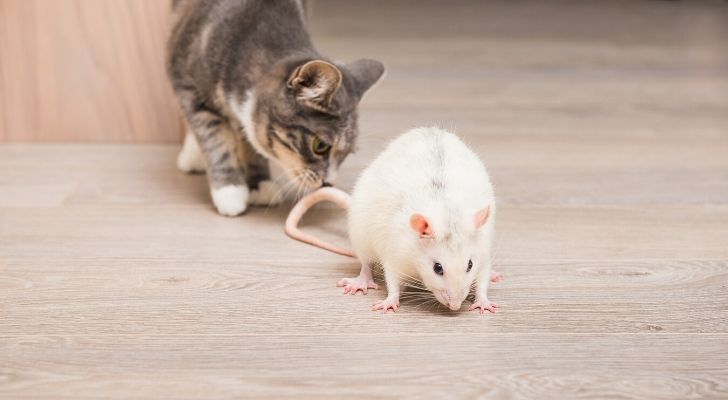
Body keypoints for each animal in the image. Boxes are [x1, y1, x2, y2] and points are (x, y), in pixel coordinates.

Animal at [164, 0, 382, 216]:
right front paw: (229, 190)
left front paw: (259, 184)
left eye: (346, 154)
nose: (328, 183)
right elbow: (213, 137)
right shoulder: (186, 84)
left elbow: (249, 137)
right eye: (320, 145)